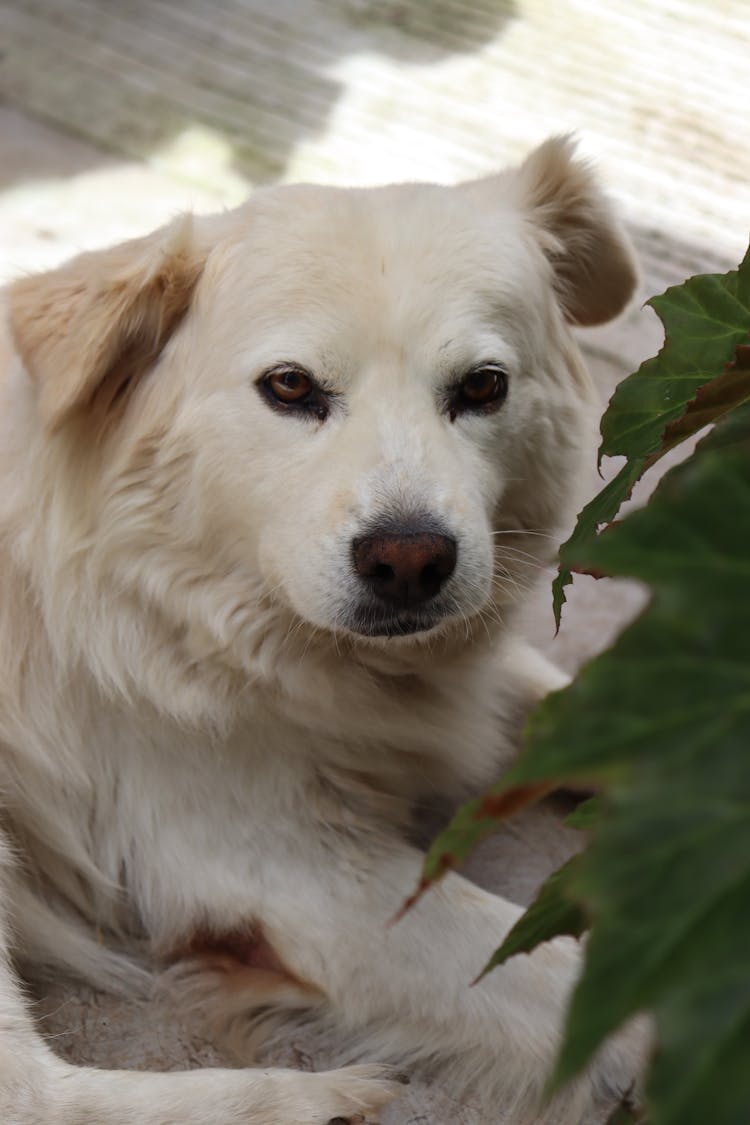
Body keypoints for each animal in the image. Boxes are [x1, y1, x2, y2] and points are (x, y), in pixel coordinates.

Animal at [1, 142, 638, 1125]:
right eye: (291, 387)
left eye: (483, 387)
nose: (411, 561)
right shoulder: (284, 868)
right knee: (36, 1094)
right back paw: (311, 1099)